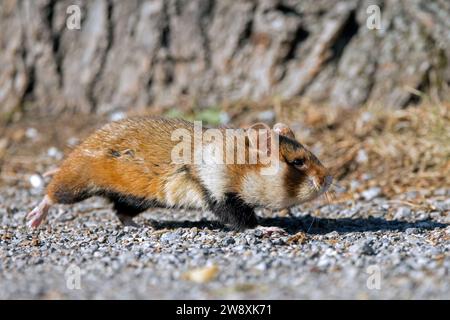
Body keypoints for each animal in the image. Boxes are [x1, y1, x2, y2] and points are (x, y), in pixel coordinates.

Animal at [26, 117, 332, 230]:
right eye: (298, 162)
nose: (329, 179)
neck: (238, 164)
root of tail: (78, 149)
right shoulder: (220, 195)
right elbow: (245, 222)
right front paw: (271, 228)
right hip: (77, 183)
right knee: (51, 194)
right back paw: (34, 218)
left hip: (135, 199)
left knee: (121, 211)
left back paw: (143, 225)